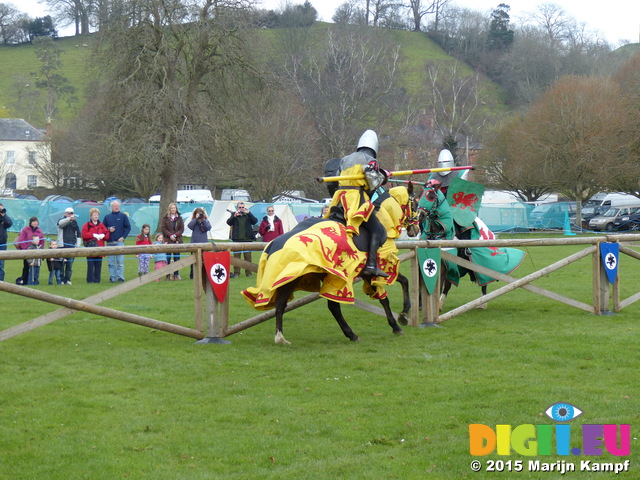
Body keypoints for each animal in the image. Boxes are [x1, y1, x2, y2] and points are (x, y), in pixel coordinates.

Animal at [241, 185, 420, 344]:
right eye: (415, 204)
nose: (415, 229)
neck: (384, 218)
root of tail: (273, 247)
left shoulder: (365, 274)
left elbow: (389, 293)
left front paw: (400, 318)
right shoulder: (380, 269)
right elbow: (393, 291)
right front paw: (401, 318)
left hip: (291, 280)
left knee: (280, 306)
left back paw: (280, 337)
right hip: (329, 277)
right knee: (331, 306)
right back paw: (351, 334)